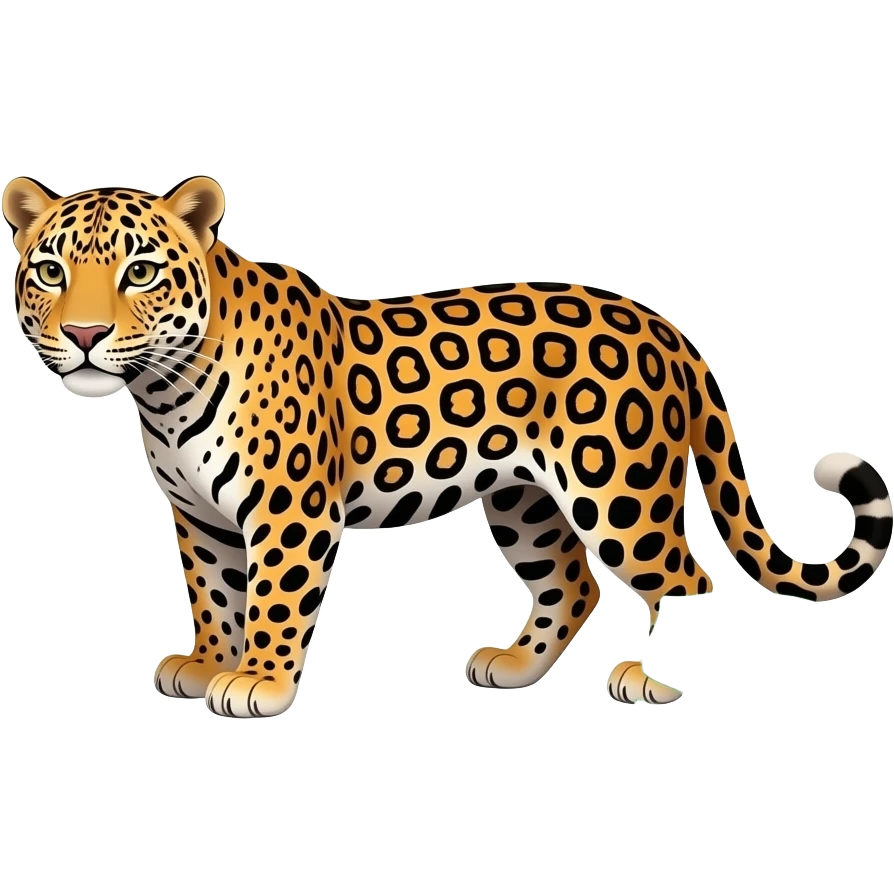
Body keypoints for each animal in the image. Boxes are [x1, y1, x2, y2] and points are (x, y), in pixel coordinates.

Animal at [5, 174, 892, 717]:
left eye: (141, 271)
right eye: (49, 271)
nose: (84, 336)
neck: (164, 389)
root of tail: (666, 327)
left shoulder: (289, 508)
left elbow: (275, 599)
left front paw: (257, 679)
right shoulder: (198, 515)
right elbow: (216, 593)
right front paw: (205, 661)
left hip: (623, 496)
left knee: (683, 578)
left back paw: (652, 678)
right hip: (524, 498)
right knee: (572, 584)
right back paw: (512, 666)